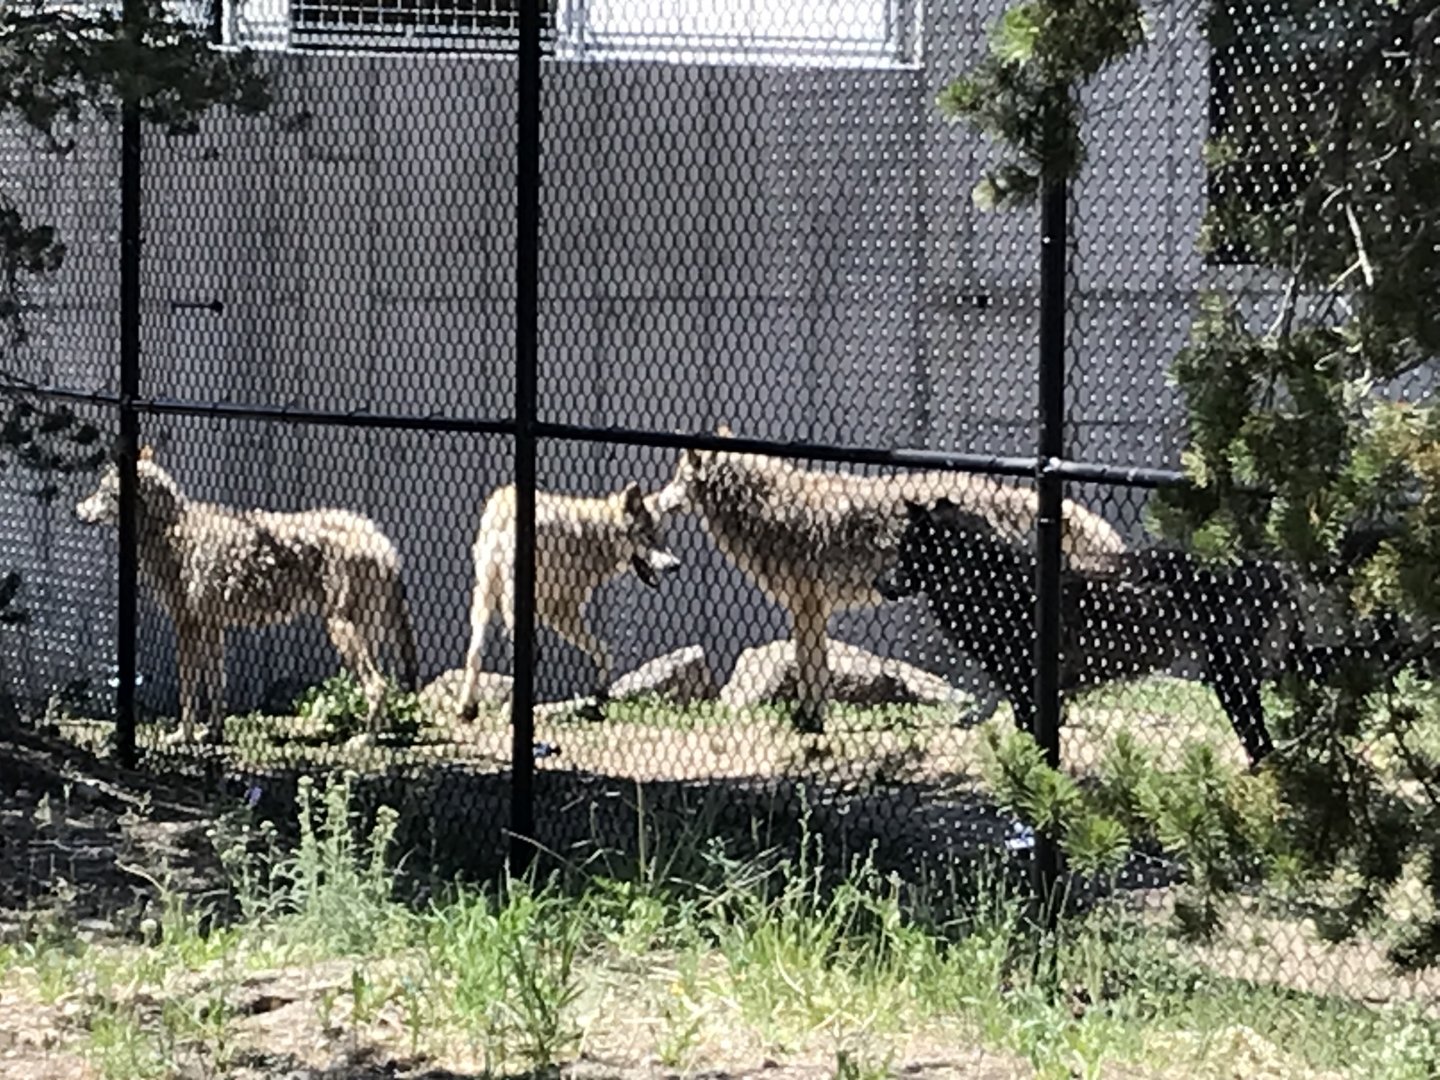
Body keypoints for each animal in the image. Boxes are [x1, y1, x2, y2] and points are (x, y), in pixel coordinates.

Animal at [75, 447, 419, 745]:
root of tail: (381, 540)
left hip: (340, 627)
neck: (170, 529)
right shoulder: (212, 625)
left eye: (103, 492)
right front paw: (213, 732)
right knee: (380, 682)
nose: (77, 510)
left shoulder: (186, 624)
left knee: (378, 685)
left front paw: (183, 734)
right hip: (365, 632)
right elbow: (216, 684)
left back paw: (365, 741)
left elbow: (188, 688)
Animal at [456, 481, 681, 722]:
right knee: (528, 653)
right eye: (648, 537)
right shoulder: (564, 612)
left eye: (662, 537)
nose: (676, 565)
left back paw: (466, 707)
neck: (598, 537)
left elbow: (603, 652)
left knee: (475, 650)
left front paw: (601, 690)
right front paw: (601, 689)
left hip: (484, 597)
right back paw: (510, 710)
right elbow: (604, 650)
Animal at [653, 427, 1128, 734]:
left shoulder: (807, 606)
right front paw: (812, 720)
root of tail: (1009, 493)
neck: (764, 506)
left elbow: (811, 672)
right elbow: (814, 670)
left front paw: (810, 723)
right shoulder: (812, 610)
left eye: (676, 478)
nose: (656, 501)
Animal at [875, 498, 1294, 764]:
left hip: (1231, 681)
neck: (993, 585)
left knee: (1262, 746)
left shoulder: (1027, 695)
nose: (882, 584)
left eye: (907, 551)